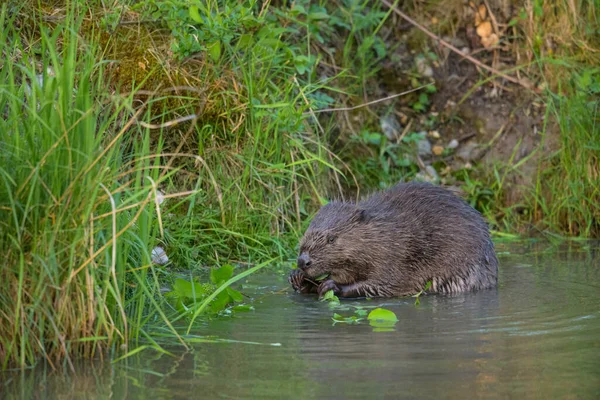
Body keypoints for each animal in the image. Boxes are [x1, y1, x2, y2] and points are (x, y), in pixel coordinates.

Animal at [290, 181, 496, 296]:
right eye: (306, 232)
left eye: (332, 239)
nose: (303, 261)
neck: (382, 232)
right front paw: (298, 278)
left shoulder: (395, 255)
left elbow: (385, 284)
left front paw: (332, 286)